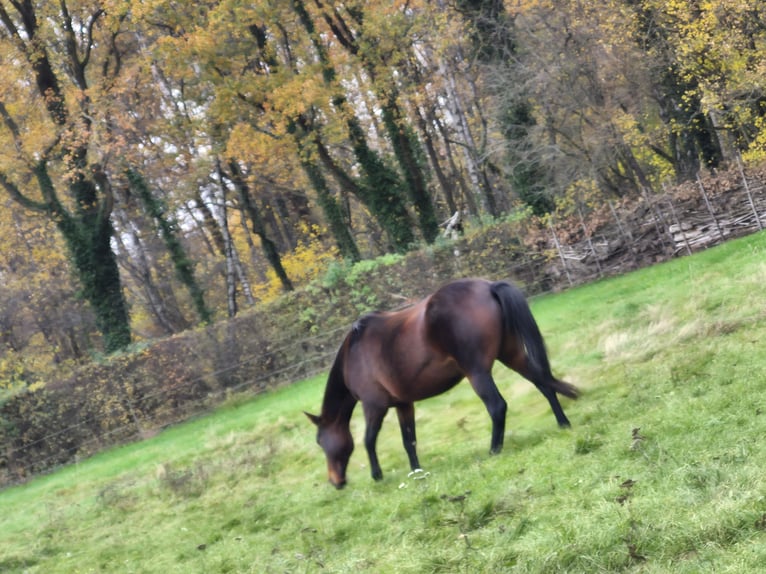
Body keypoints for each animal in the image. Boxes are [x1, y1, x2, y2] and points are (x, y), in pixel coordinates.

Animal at [305, 278, 579, 488]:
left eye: (320, 441)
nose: (335, 482)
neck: (354, 352)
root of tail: (489, 287)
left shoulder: (374, 406)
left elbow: (369, 440)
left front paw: (377, 475)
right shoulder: (404, 405)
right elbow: (409, 441)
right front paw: (416, 472)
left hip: (478, 373)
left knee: (497, 406)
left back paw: (493, 450)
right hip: (512, 355)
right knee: (544, 384)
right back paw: (563, 423)